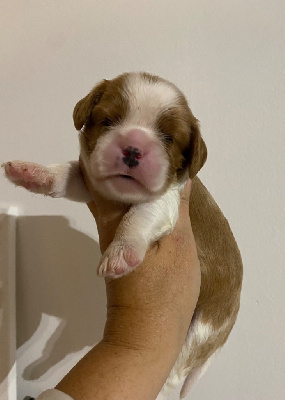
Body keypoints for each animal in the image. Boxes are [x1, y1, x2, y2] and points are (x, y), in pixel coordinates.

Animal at [2, 72, 242, 396]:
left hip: (200, 329)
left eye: (169, 138)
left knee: (173, 375)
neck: (121, 196)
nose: (132, 148)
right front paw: (33, 172)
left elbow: (138, 217)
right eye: (108, 121)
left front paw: (120, 254)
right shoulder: (91, 181)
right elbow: (67, 174)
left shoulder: (164, 201)